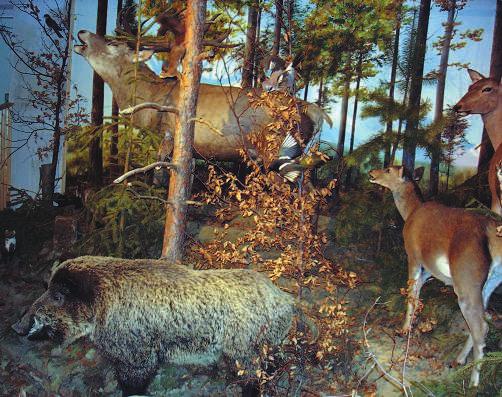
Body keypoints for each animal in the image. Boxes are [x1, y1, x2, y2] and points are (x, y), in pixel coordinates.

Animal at [11, 255, 296, 394]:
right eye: (46, 288)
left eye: (58, 295)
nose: (17, 326)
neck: (102, 301)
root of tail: (284, 300)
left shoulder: (137, 354)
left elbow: (133, 384)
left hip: (243, 349)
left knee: (254, 376)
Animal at [72, 30, 332, 166]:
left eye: (113, 42)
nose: (83, 32)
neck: (151, 100)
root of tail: (316, 112)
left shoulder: (169, 134)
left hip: (277, 149)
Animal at [368, 165, 502, 386]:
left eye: (388, 169)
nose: (371, 173)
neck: (411, 212)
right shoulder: (430, 270)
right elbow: (417, 291)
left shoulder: (413, 255)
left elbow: (411, 293)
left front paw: (403, 329)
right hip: (490, 282)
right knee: (483, 320)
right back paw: (459, 360)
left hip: (467, 278)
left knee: (482, 326)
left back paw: (473, 383)